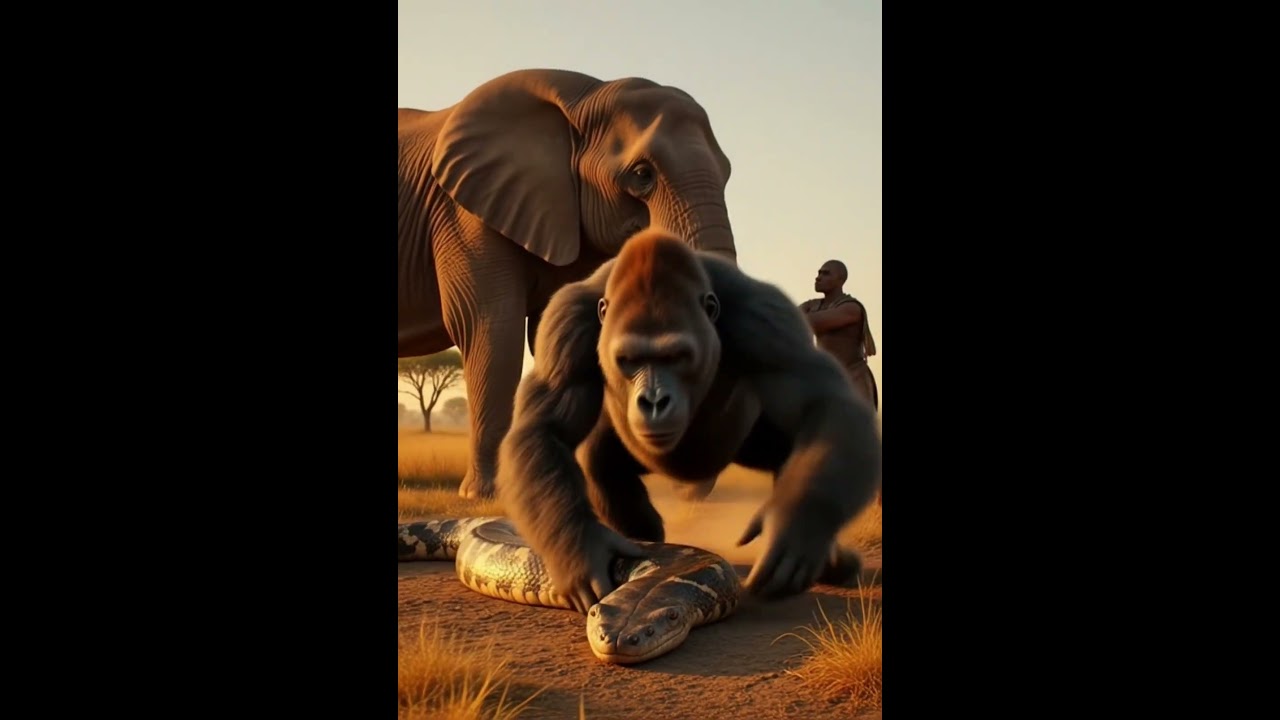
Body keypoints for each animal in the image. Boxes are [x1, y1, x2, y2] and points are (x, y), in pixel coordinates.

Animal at [398, 68, 739, 499]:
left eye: (727, 174)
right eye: (642, 175)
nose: (686, 494)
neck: (584, 97)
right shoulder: (464, 215)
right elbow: (491, 328)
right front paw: (487, 495)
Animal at [496, 228, 882, 614]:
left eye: (677, 356)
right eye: (629, 360)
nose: (654, 402)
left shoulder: (766, 317)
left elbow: (826, 403)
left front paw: (795, 529)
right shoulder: (568, 322)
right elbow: (544, 429)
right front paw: (583, 552)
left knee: (795, 444)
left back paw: (832, 562)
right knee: (600, 465)